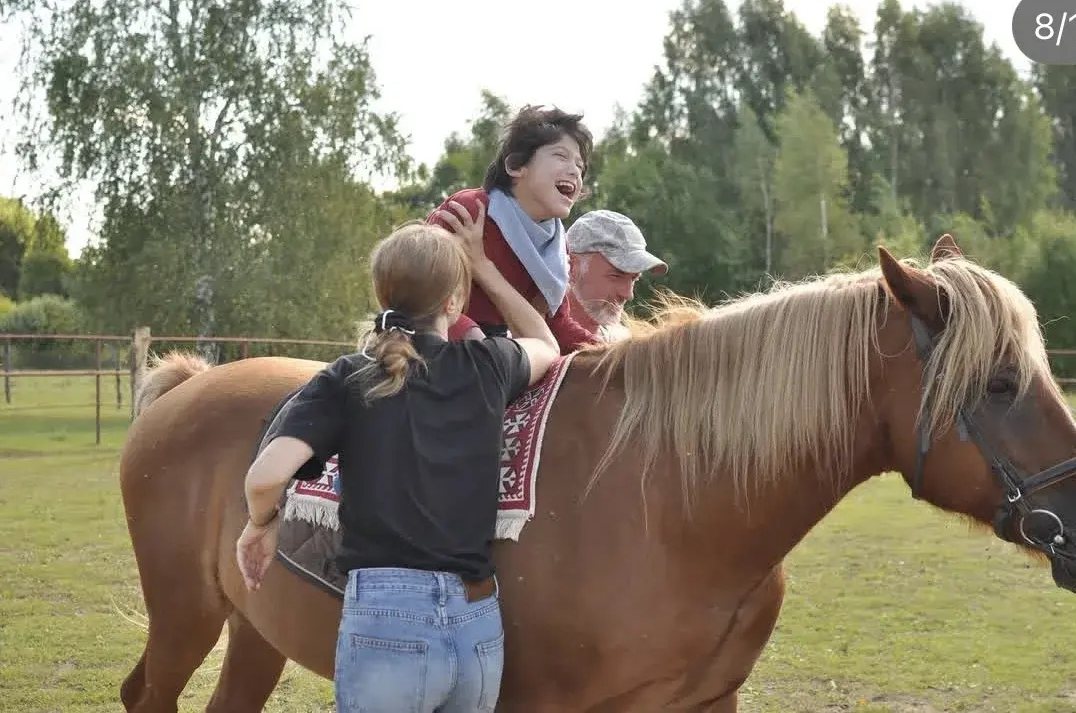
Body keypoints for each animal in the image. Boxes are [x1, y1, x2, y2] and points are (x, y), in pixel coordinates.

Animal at [117, 235, 1076, 712]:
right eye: (1000, 382)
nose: (1072, 511)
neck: (676, 505)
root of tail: (191, 381)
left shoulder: (706, 704)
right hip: (184, 615)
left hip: (255, 629)